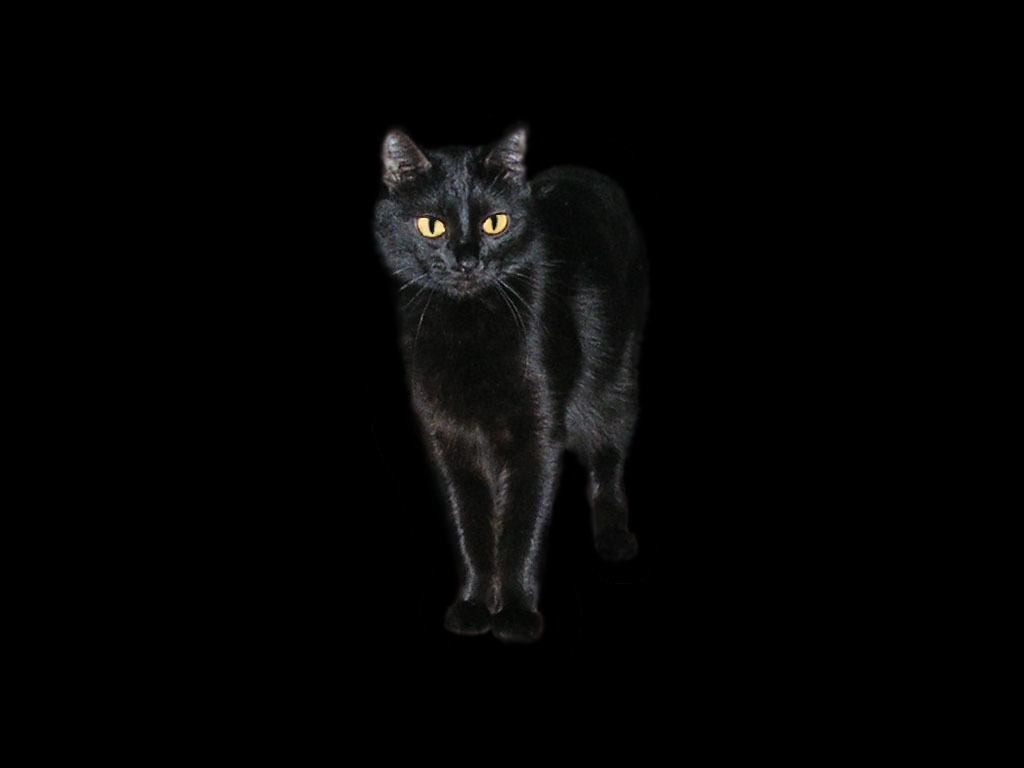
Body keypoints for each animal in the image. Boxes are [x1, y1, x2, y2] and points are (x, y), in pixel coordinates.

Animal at [373, 127, 648, 642]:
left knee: (607, 461)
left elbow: (523, 523)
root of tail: (588, 173)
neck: (467, 329)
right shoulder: (452, 440)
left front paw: (517, 613)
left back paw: (613, 537)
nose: (466, 261)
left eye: (495, 223)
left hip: (614, 381)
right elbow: (473, 526)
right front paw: (474, 605)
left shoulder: (536, 436)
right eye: (431, 226)